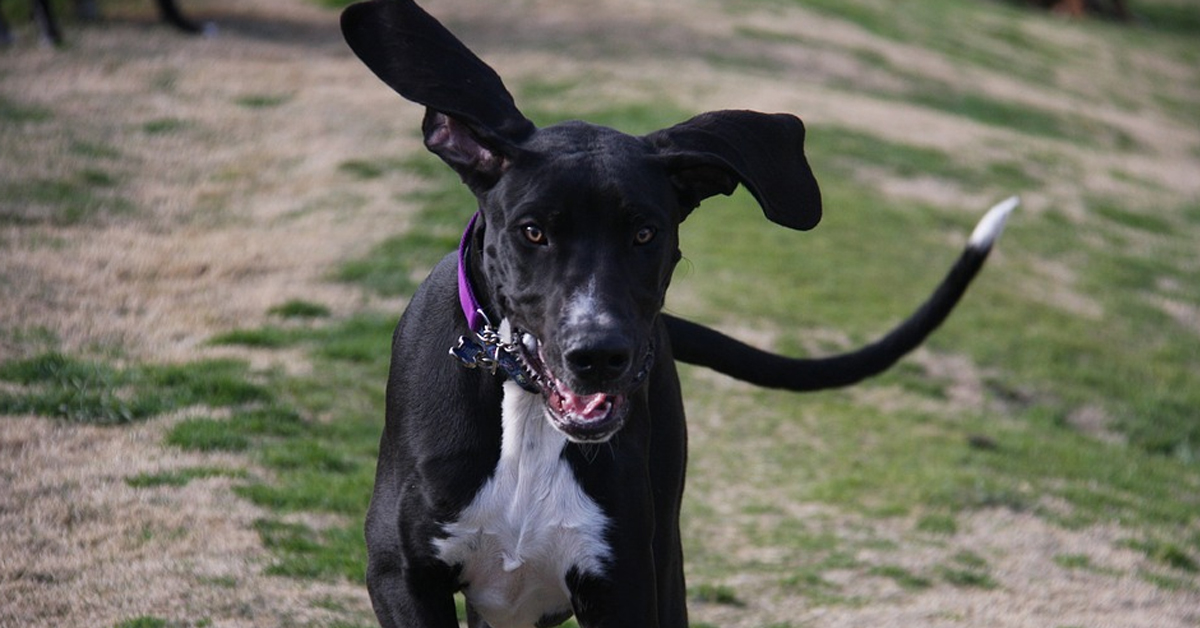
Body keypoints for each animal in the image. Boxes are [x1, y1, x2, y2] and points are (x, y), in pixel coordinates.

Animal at [343, 2, 1017, 624]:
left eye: (646, 233)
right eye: (532, 231)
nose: (600, 356)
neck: (528, 421)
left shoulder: (626, 584)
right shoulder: (403, 577)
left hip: (664, 552)